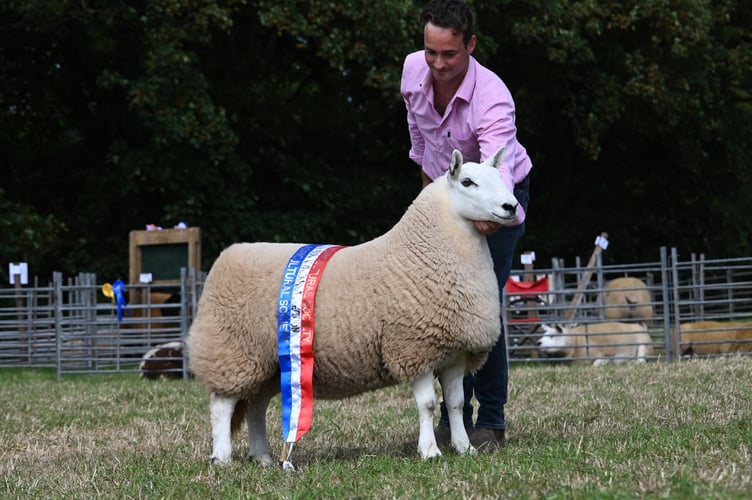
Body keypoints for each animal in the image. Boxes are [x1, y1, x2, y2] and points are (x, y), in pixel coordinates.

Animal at [186, 146, 520, 468]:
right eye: (467, 182)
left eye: (500, 176)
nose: (511, 207)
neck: (426, 250)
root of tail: (229, 253)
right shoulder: (413, 348)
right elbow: (426, 405)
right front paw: (430, 452)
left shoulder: (454, 353)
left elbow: (456, 403)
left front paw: (465, 449)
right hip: (231, 353)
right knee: (221, 405)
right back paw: (222, 458)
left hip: (266, 363)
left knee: (256, 406)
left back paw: (262, 457)